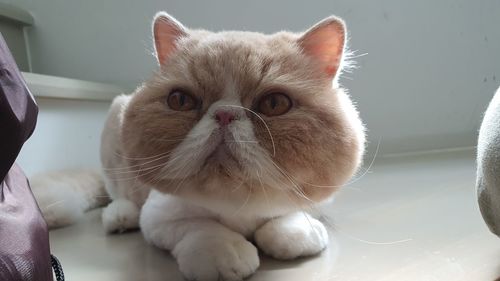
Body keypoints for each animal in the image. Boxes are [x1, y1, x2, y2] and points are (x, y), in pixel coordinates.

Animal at [32, 11, 368, 280]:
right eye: (180, 100)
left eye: (274, 104)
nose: (224, 114)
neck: (237, 201)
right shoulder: (160, 216)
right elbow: (201, 227)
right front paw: (224, 252)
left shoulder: (313, 200)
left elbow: (287, 219)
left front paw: (293, 231)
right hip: (115, 124)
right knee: (119, 194)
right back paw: (120, 217)